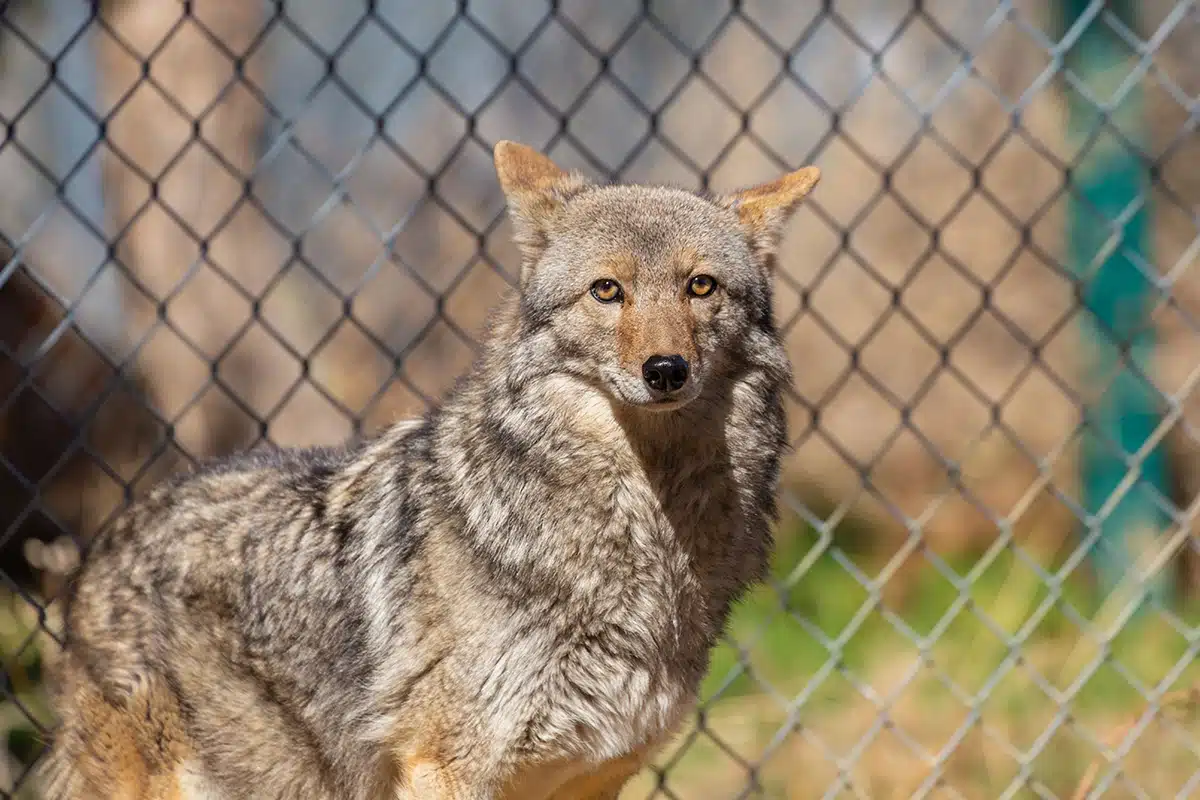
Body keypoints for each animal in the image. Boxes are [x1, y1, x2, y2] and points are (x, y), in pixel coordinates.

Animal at [39, 140, 820, 799]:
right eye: (606, 291)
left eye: (700, 287)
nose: (666, 371)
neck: (646, 536)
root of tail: (107, 542)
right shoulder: (447, 766)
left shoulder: (594, 777)